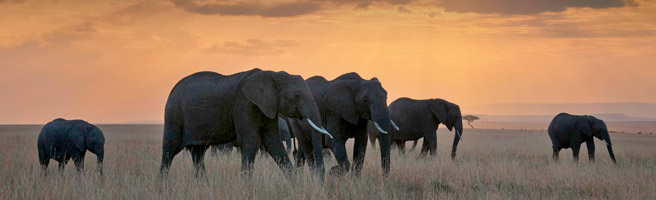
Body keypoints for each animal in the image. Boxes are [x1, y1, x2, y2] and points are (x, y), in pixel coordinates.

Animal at [161, 68, 330, 177]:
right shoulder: (244, 105)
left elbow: (273, 142)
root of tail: (172, 90)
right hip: (174, 115)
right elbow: (251, 141)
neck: (273, 75)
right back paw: (162, 185)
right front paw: (247, 188)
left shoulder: (267, 107)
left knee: (198, 154)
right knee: (169, 151)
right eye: (296, 95)